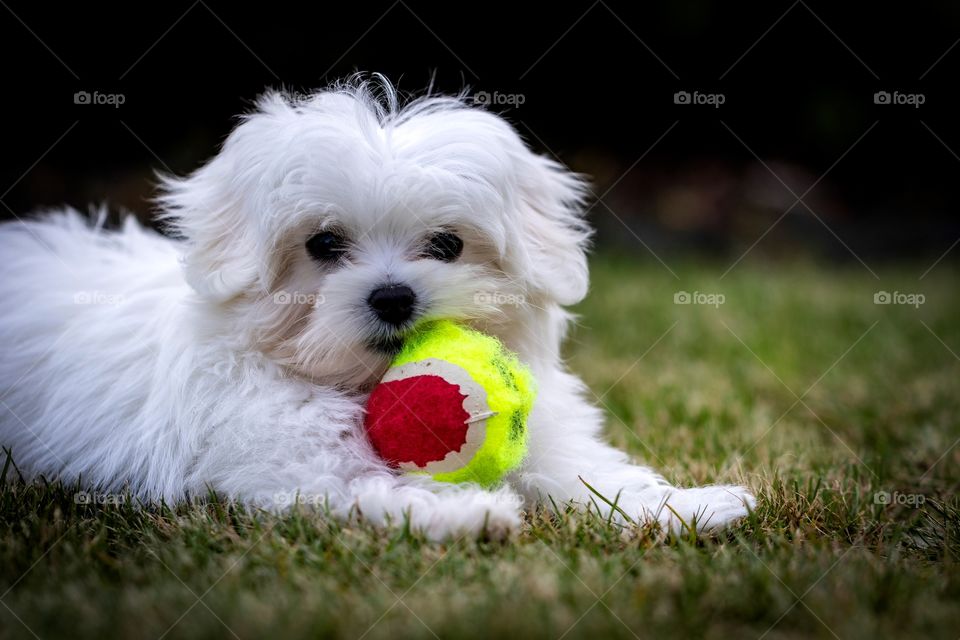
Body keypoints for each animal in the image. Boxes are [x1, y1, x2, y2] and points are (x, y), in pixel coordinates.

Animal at [0, 79, 752, 540]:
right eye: (323, 244)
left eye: (447, 244)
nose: (393, 296)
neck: (354, 384)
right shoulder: (297, 468)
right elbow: (374, 489)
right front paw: (475, 513)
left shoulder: (546, 440)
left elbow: (589, 476)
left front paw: (690, 506)